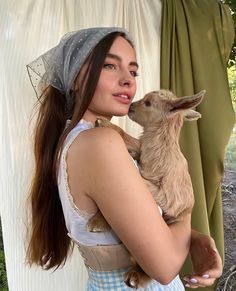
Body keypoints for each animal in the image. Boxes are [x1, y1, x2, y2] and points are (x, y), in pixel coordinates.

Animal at [87, 89, 206, 290]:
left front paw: (96, 221)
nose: (130, 106)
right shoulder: (141, 153)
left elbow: (142, 182)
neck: (160, 151)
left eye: (148, 103)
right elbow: (134, 143)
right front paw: (104, 123)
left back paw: (135, 276)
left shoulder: (166, 195)